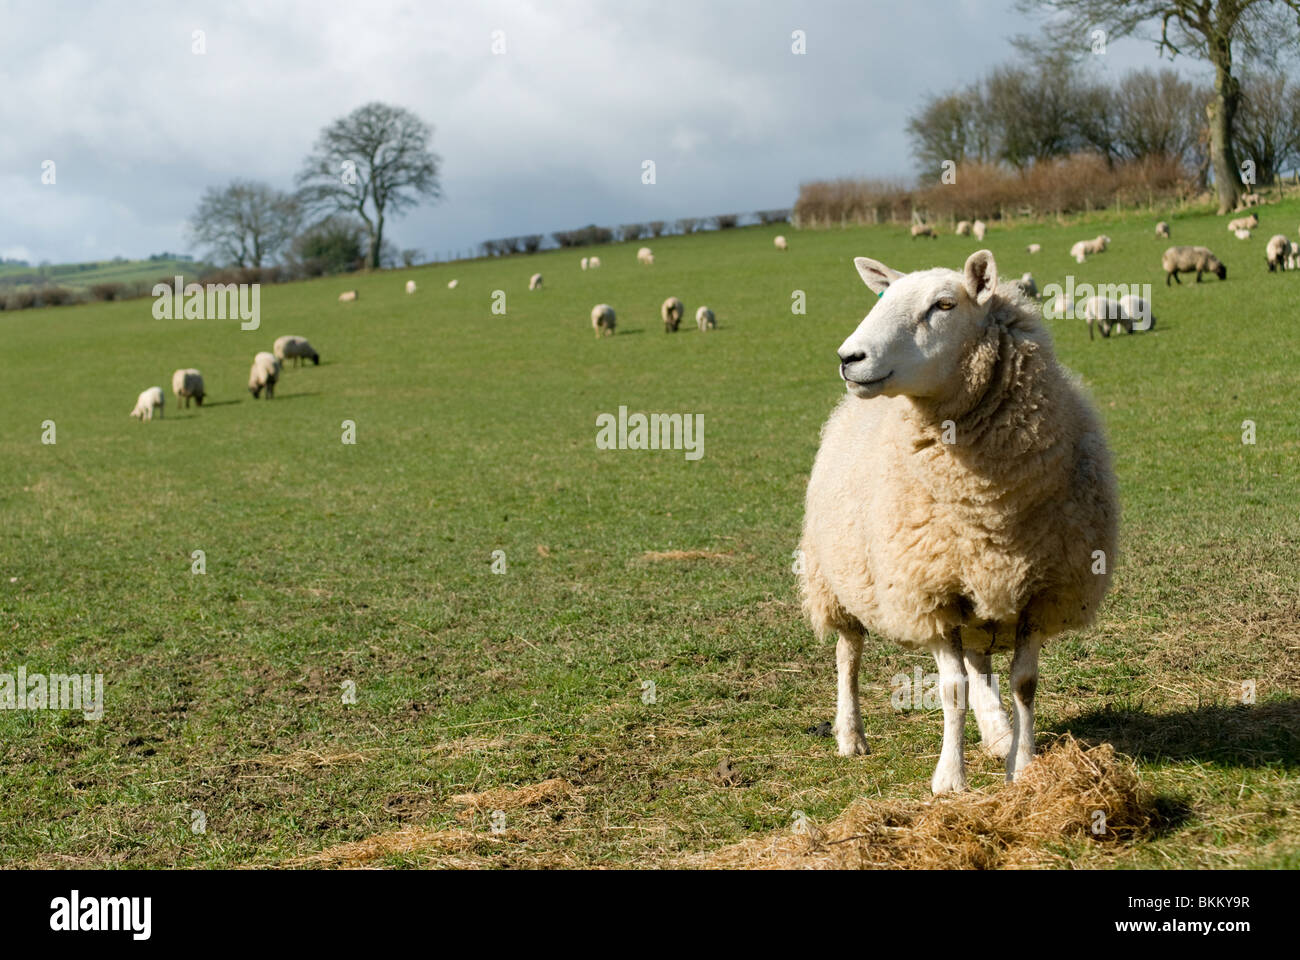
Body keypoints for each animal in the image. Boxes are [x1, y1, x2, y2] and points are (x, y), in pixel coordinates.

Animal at [800, 248, 1118, 790]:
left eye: (944, 305)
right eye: (882, 297)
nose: (849, 358)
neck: (986, 505)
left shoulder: (1041, 591)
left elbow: (1024, 683)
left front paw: (1022, 764)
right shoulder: (932, 593)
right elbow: (952, 690)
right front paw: (949, 778)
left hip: (979, 595)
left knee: (979, 662)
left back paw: (998, 734)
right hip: (838, 580)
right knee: (849, 655)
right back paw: (851, 735)